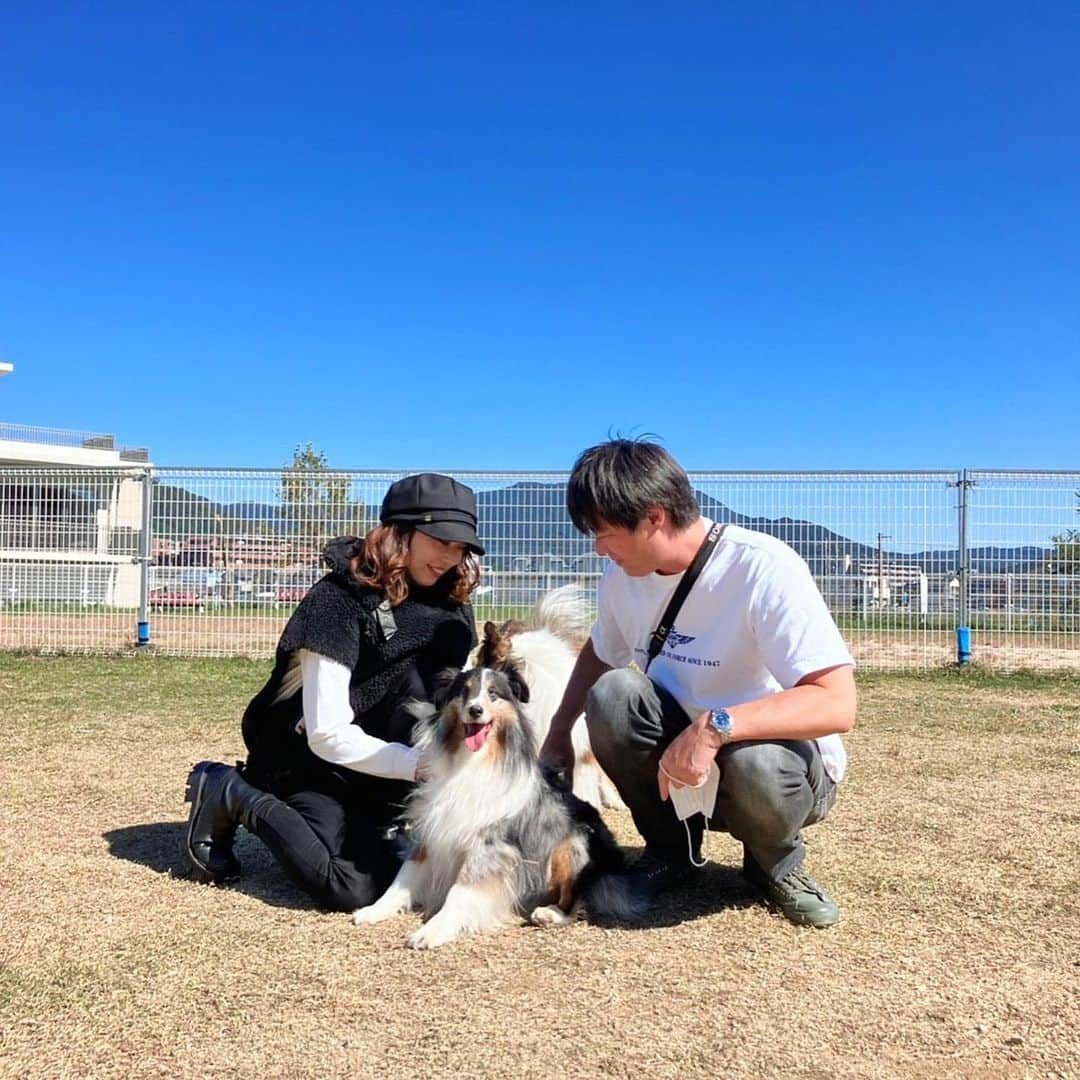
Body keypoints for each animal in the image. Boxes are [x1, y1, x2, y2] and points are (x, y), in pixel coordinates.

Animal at [352, 660, 639, 950]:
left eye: (493, 694)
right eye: (464, 692)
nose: (475, 710)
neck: (472, 762)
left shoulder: (489, 844)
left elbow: (460, 890)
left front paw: (433, 930)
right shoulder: (432, 829)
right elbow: (404, 876)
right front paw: (374, 910)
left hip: (572, 845)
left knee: (577, 897)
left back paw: (550, 914)